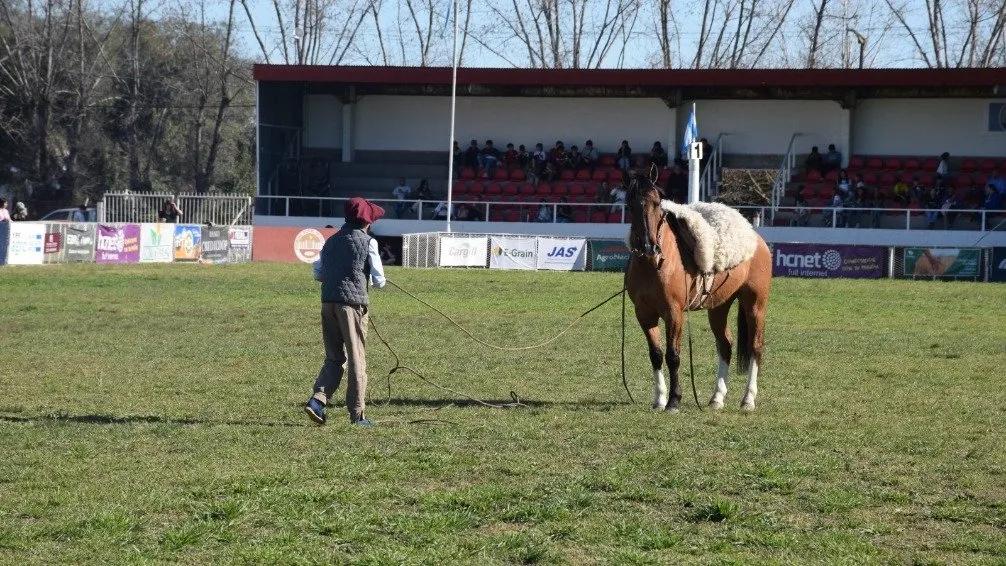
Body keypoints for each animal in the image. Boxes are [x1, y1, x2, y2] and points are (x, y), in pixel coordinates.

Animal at [623, 172, 772, 412]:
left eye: (657, 203)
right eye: (630, 205)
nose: (648, 246)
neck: (653, 264)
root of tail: (756, 238)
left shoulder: (674, 313)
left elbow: (673, 355)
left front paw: (674, 400)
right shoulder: (644, 314)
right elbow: (656, 354)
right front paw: (659, 399)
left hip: (755, 303)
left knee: (755, 347)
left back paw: (748, 399)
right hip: (719, 307)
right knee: (725, 346)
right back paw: (717, 398)